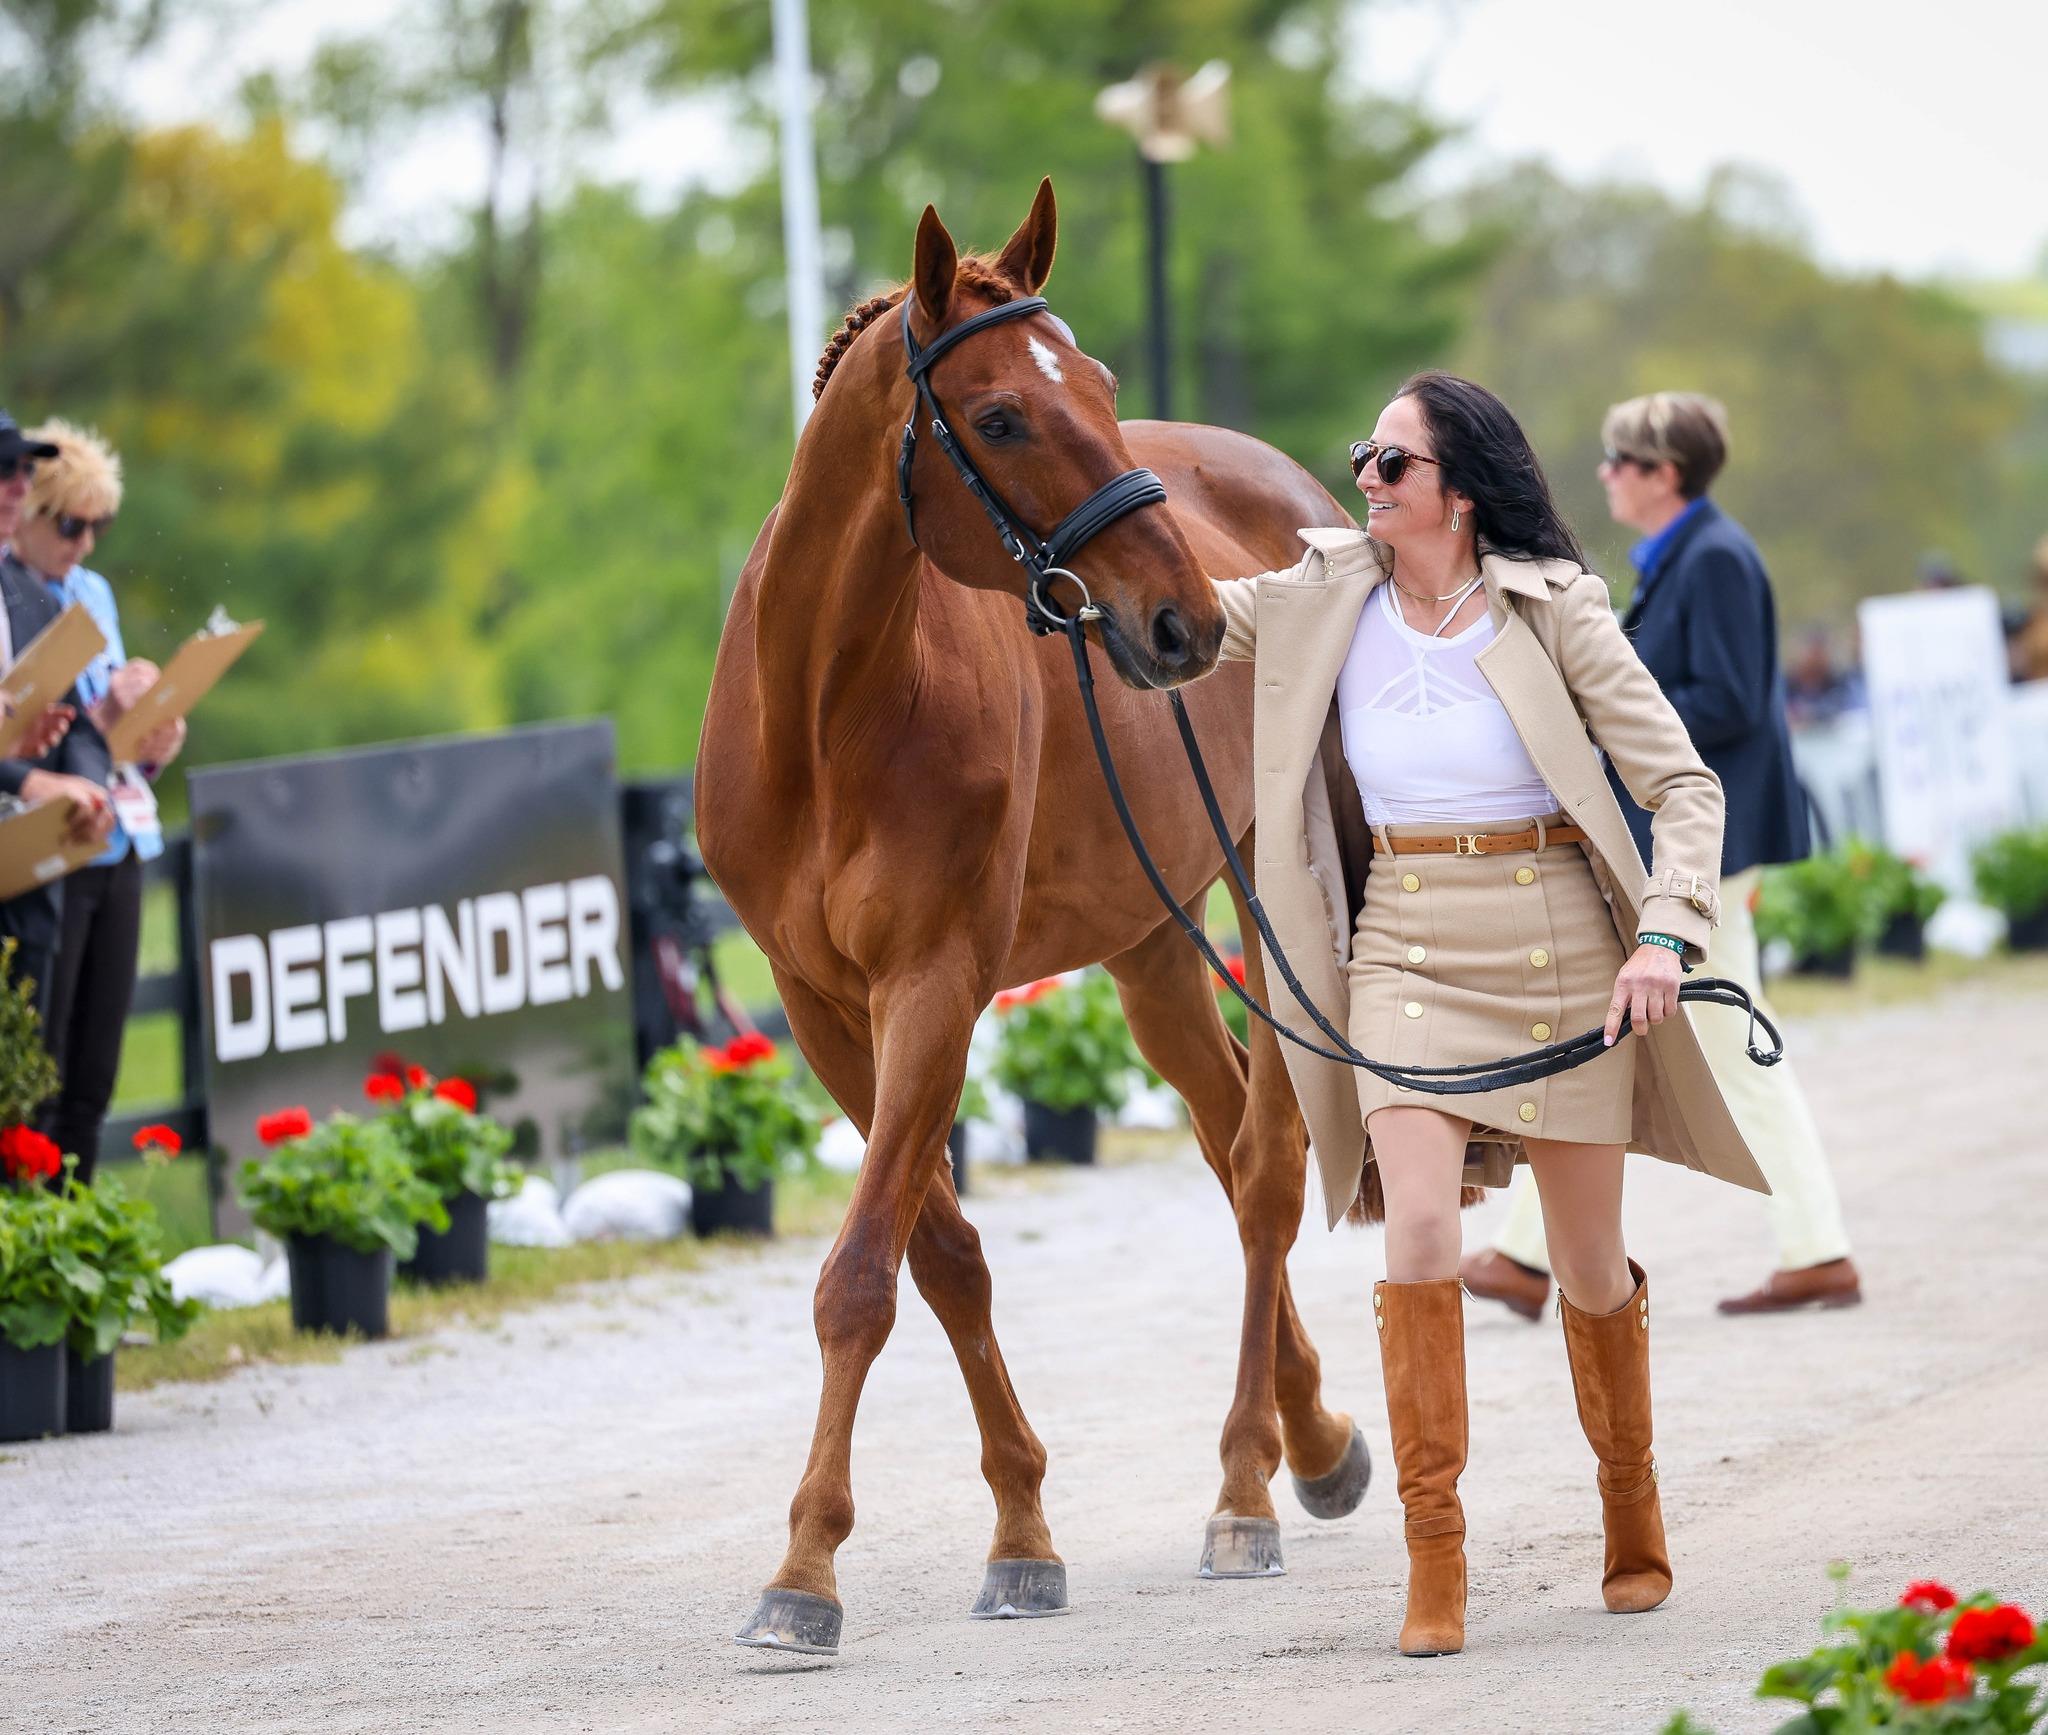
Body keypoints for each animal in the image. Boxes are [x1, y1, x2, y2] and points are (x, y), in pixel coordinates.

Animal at [704, 183, 1376, 1663]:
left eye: (1108, 389)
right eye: (1002, 416)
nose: (1184, 621)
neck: (832, 709)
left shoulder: (935, 987)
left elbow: (860, 1273)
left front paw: (805, 1567)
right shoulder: (823, 1011)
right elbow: (939, 1255)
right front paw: (1018, 1529)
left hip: (1273, 898)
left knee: (1264, 1168)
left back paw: (1246, 1485)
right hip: (1149, 950)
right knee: (1226, 1139)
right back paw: (1311, 1437)